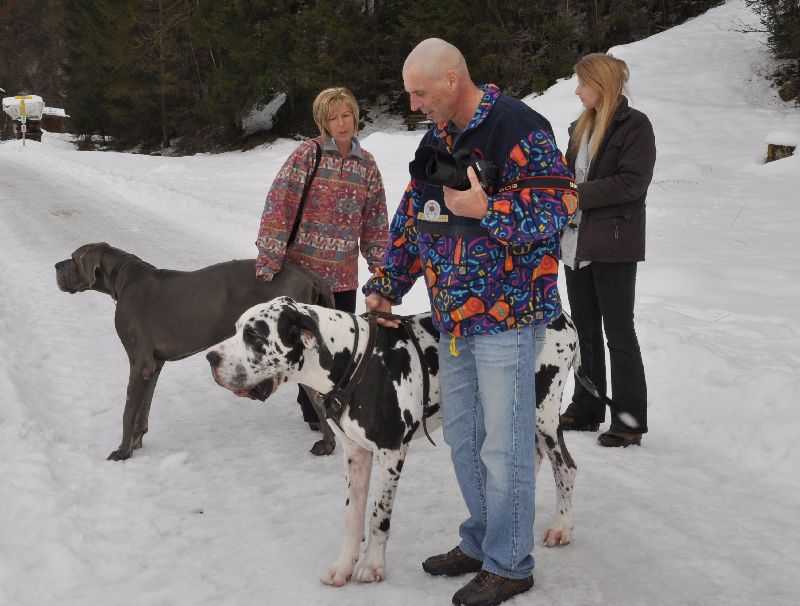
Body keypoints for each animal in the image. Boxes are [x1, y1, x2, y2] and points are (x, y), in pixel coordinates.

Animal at [55, 243, 335, 461]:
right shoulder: (153, 365)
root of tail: (309, 274)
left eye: (73, 257)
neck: (124, 277)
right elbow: (143, 409)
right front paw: (136, 442)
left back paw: (328, 444)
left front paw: (122, 452)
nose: (56, 266)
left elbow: (128, 411)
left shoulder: (139, 364)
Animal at [206, 296, 584, 585]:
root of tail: (564, 315)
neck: (353, 359)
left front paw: (373, 565)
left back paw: (562, 528)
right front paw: (343, 566)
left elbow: (378, 515)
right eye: (237, 329)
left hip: (543, 414)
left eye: (254, 336)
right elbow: (352, 516)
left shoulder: (391, 451)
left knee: (565, 467)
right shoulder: (355, 453)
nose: (211, 357)